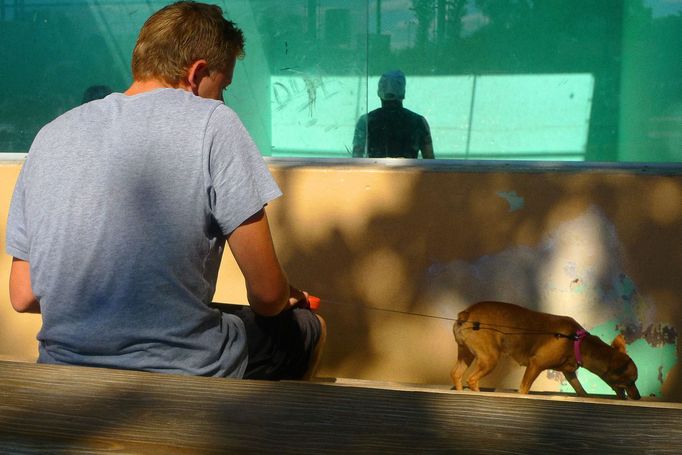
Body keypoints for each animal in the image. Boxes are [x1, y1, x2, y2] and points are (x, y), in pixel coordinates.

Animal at [452, 302, 636, 400]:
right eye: (630, 382)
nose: (638, 396)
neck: (577, 343)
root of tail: (466, 313)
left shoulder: (570, 373)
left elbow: (581, 390)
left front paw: (586, 397)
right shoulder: (535, 365)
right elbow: (524, 389)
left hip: (466, 354)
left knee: (456, 374)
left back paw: (460, 391)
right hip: (490, 359)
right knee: (472, 379)